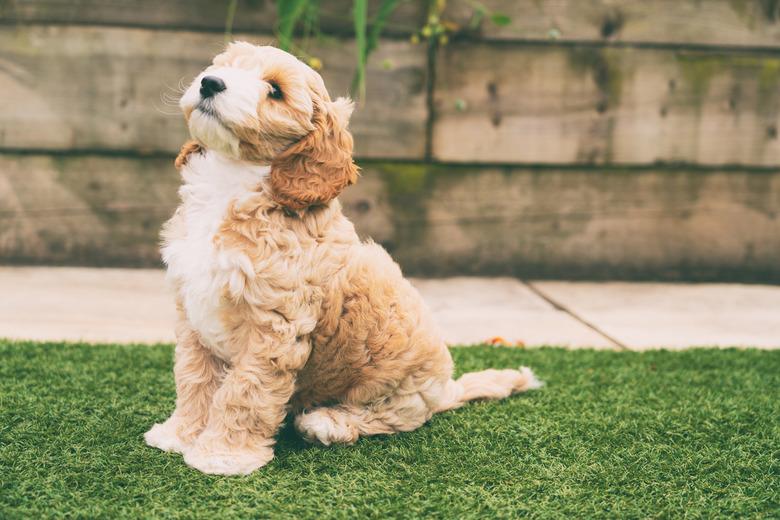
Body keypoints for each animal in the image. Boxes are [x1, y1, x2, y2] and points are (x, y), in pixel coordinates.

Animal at [143, 42, 540, 476]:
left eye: (275, 91)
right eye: (224, 65)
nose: (210, 82)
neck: (231, 180)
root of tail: (445, 389)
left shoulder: (273, 327)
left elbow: (245, 391)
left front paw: (224, 455)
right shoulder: (193, 312)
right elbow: (194, 379)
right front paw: (180, 435)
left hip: (399, 387)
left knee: (391, 416)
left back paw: (327, 422)